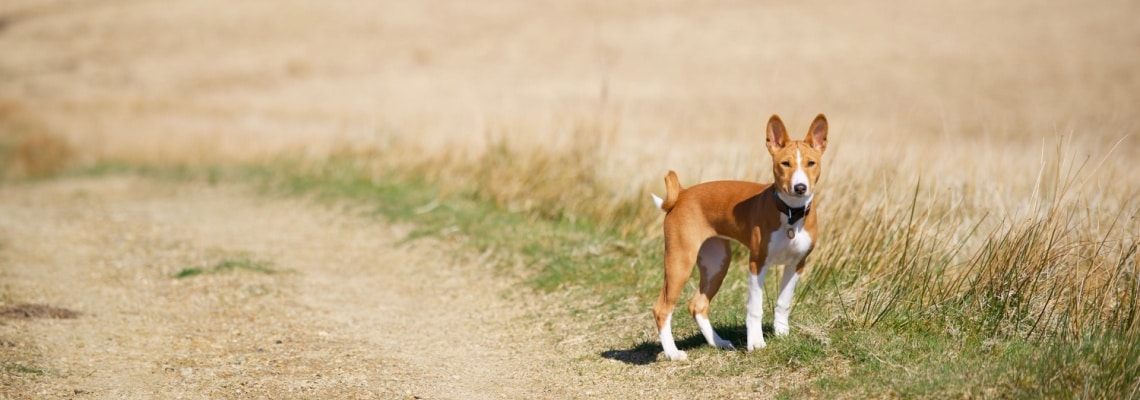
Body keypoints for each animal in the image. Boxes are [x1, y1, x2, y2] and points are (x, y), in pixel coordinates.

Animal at [652, 114, 829, 362]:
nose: (800, 187)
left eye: (811, 163)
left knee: (697, 305)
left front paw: (782, 334)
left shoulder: (797, 264)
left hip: (717, 263)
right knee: (662, 309)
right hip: (680, 262)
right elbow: (755, 307)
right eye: (785, 163)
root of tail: (682, 194)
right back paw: (672, 352)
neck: (790, 214)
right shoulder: (757, 262)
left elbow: (783, 302)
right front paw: (756, 343)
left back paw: (718, 343)